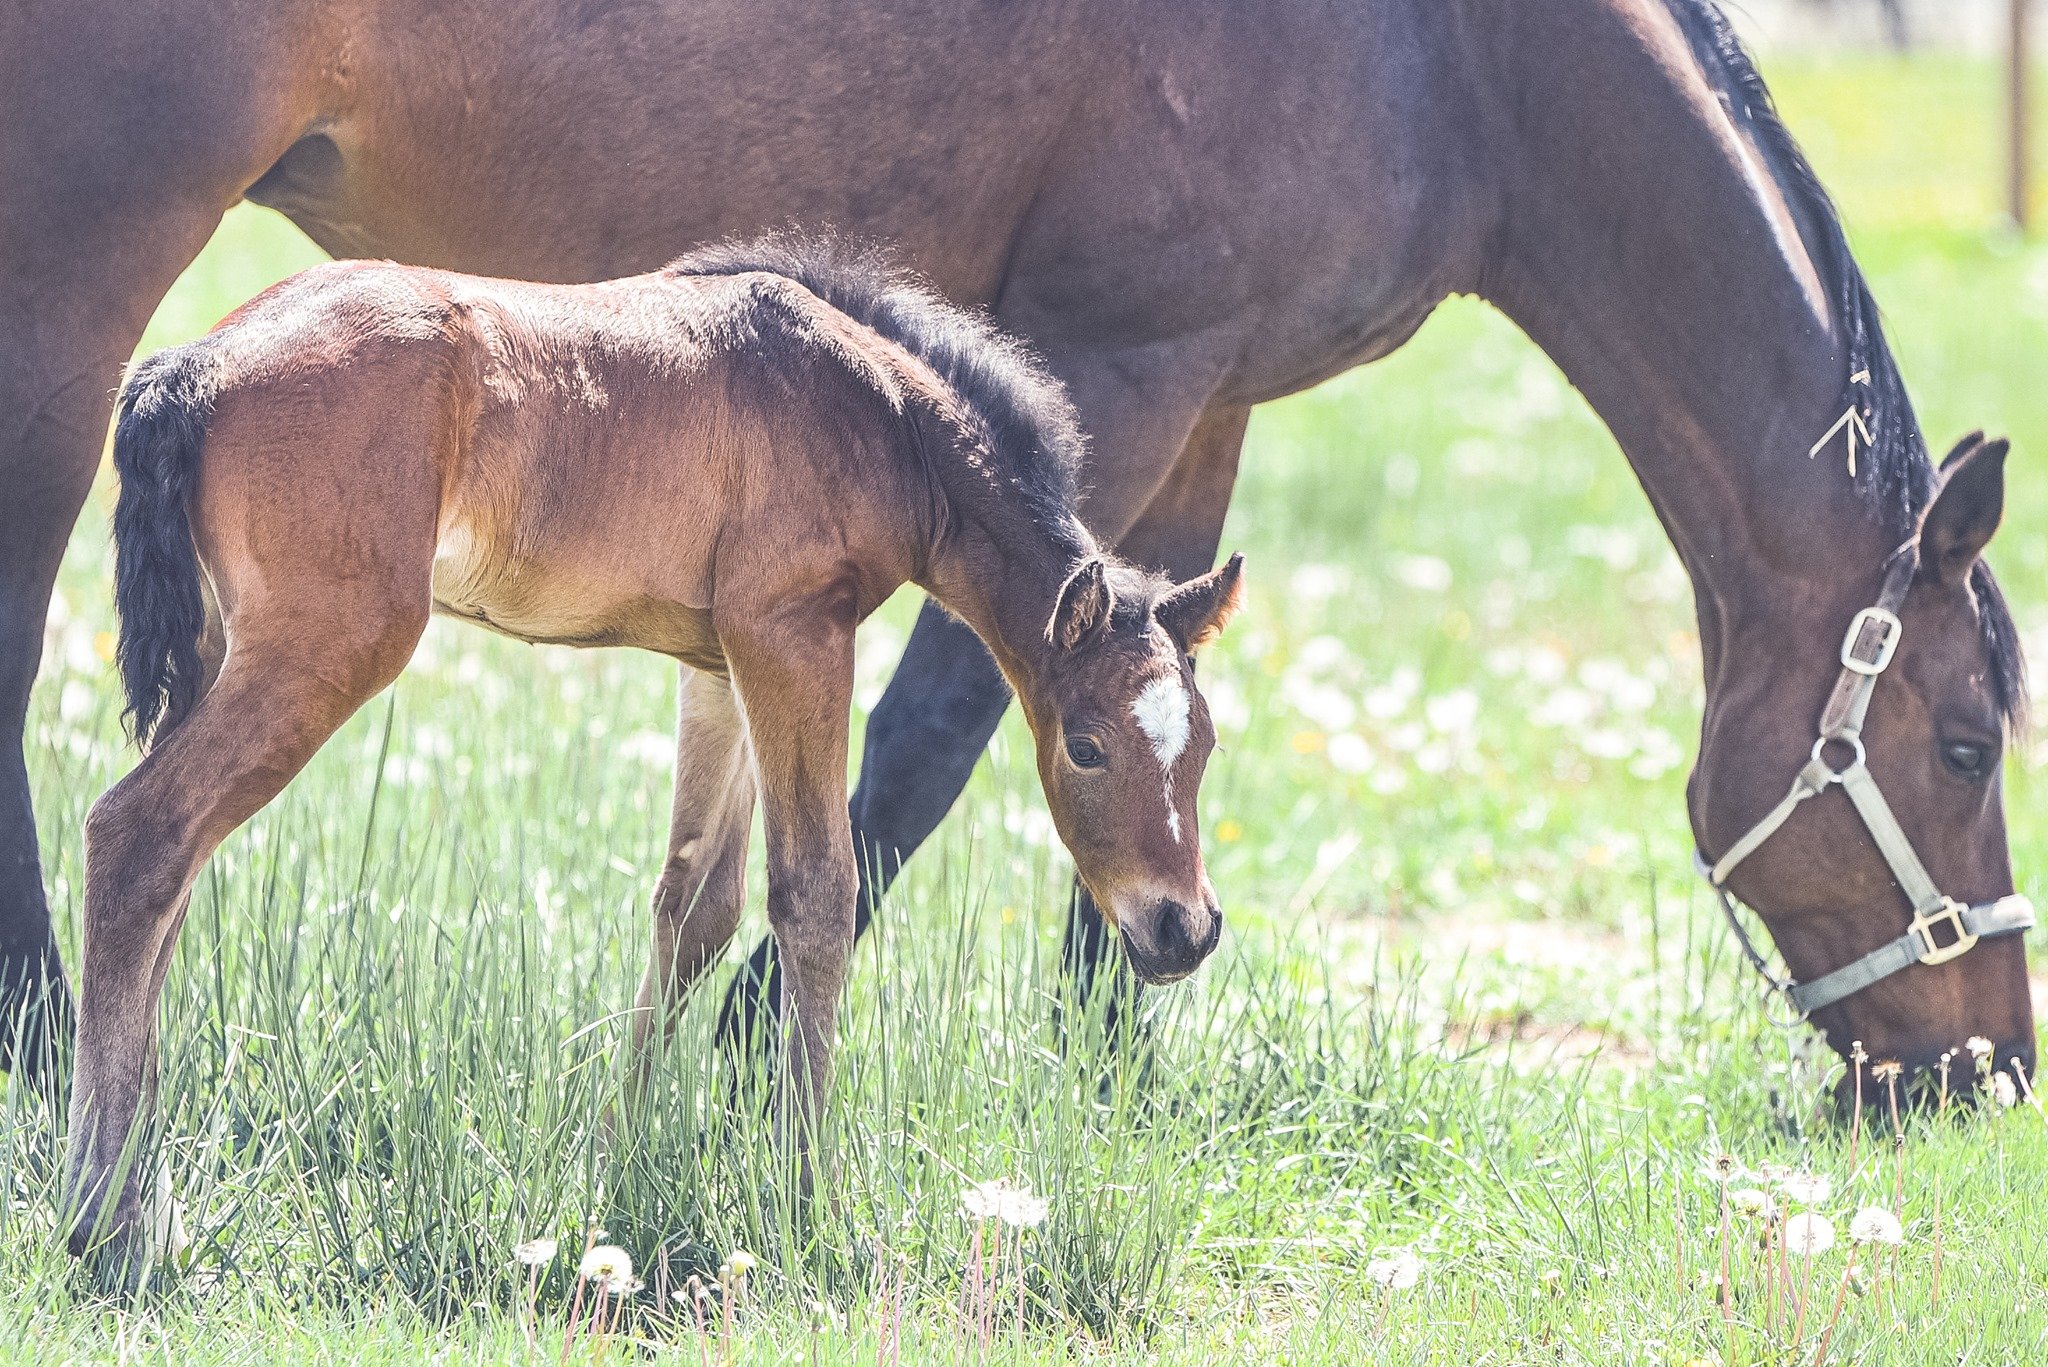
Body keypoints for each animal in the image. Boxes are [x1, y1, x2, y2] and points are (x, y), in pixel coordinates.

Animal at [0, 0, 2031, 1090]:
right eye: (1957, 743)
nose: (1987, 1061)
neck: (1454, 59)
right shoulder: (1109, 369)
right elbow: (944, 728)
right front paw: (752, 1064)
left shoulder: (1209, 400)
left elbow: (1152, 676)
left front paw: (1103, 1065)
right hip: (81, 262)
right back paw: (39, 1039)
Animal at [68, 240, 1245, 1278]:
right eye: (1086, 746)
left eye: (1206, 745)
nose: (1182, 930)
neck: (869, 408)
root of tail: (194, 361)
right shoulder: (793, 634)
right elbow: (815, 894)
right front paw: (810, 1208)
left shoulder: (719, 663)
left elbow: (694, 906)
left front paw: (614, 1169)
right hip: (331, 644)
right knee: (139, 835)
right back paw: (103, 1223)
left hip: (221, 651)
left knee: (169, 875)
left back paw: (146, 1207)